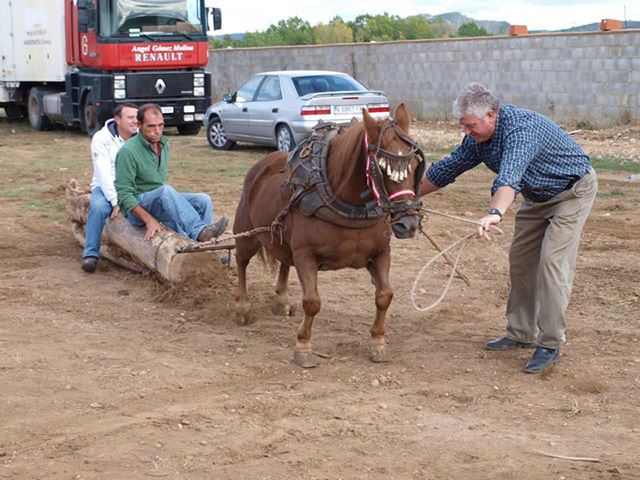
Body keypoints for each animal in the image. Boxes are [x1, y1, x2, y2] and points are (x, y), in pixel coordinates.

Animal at [232, 105, 422, 368]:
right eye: (380, 167)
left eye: (414, 163)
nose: (409, 224)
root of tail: (262, 164)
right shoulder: (305, 254)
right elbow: (312, 302)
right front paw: (303, 347)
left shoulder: (381, 253)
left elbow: (385, 295)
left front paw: (378, 343)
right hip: (247, 233)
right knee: (242, 261)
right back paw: (242, 307)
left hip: (281, 237)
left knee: (284, 261)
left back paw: (281, 301)